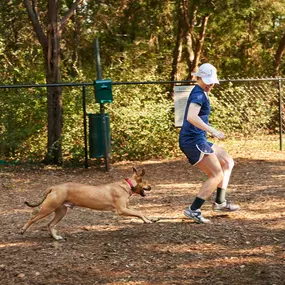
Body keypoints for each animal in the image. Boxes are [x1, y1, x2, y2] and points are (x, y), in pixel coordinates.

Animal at [21, 168, 152, 239]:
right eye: (145, 182)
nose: (151, 186)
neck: (128, 185)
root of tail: (54, 187)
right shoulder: (122, 210)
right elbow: (139, 212)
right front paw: (146, 221)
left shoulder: (126, 207)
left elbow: (140, 212)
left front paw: (150, 219)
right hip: (48, 209)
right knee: (33, 218)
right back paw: (23, 230)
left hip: (61, 212)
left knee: (50, 224)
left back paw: (56, 237)